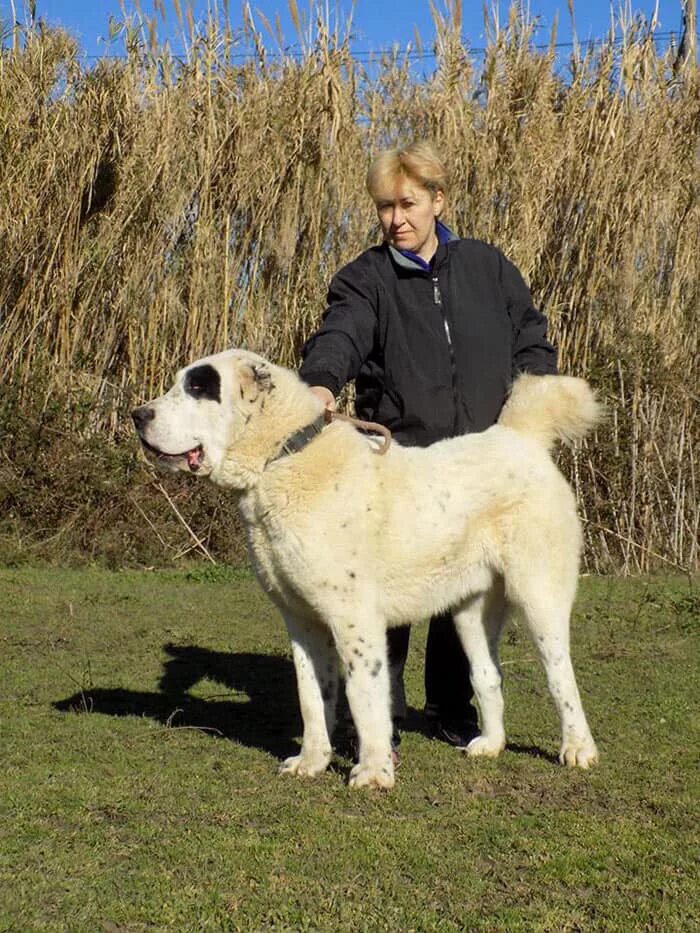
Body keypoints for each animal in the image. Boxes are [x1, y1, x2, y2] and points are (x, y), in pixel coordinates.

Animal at [133, 348, 600, 788]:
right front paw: (312, 762)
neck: (282, 458)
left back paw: (578, 749)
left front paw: (374, 771)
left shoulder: (353, 619)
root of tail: (519, 437)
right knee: (487, 675)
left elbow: (364, 695)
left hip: (540, 596)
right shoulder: (302, 621)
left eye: (199, 388)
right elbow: (312, 695)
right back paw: (489, 744)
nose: (138, 415)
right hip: (471, 611)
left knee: (562, 677)